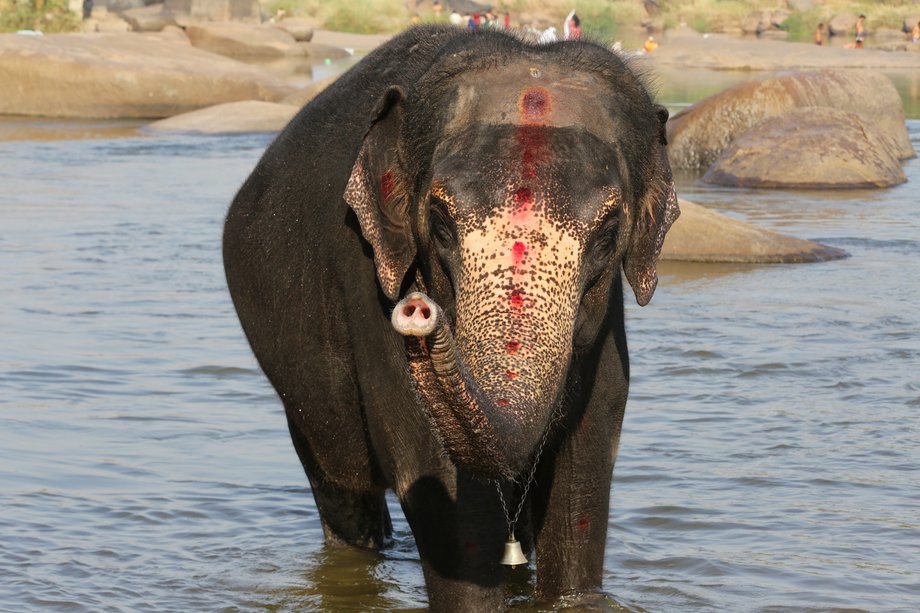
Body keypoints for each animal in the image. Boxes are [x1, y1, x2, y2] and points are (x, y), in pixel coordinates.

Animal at [225, 25, 676, 612]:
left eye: (606, 236)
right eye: (439, 225)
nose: (418, 310)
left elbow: (583, 474)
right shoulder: (372, 289)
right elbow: (443, 484)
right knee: (340, 487)